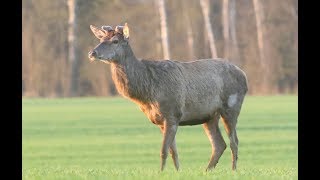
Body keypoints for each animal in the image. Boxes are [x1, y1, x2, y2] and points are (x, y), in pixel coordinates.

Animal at [89, 22, 249, 172]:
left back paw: (233, 170)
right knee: (219, 144)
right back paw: (207, 170)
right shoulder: (161, 120)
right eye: (101, 39)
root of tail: (243, 74)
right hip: (209, 116)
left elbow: (163, 151)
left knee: (234, 141)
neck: (147, 92)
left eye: (115, 41)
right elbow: (174, 152)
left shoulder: (172, 114)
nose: (92, 52)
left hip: (231, 106)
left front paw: (161, 172)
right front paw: (178, 172)